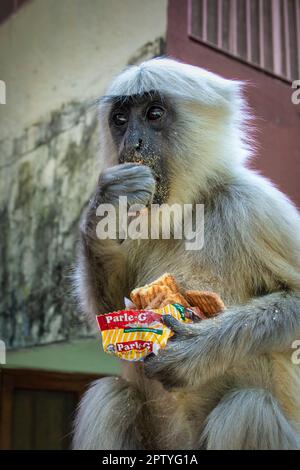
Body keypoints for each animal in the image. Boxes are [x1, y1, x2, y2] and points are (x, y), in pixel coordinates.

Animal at [72, 57, 300, 450]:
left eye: (154, 113)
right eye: (121, 119)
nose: (133, 142)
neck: (191, 205)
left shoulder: (253, 206)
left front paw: (195, 350)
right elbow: (112, 314)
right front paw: (108, 201)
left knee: (247, 408)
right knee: (110, 397)